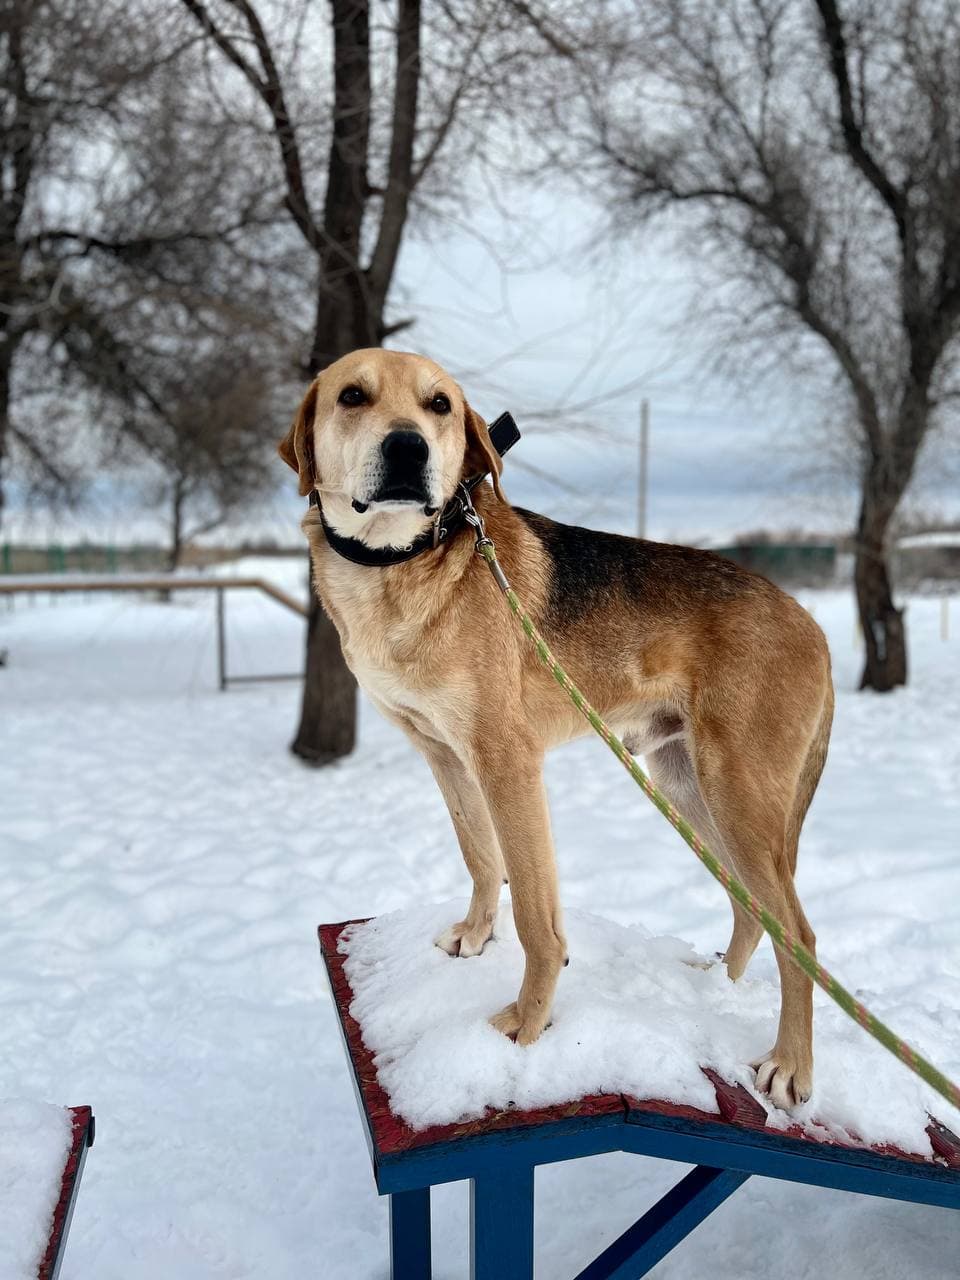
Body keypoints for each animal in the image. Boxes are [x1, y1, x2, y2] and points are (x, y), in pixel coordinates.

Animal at [280, 350, 834, 1111]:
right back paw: (712, 990)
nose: (408, 448)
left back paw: (791, 1065)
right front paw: (475, 936)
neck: (401, 562)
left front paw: (527, 1025)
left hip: (739, 798)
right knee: (753, 910)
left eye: (439, 405)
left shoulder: (507, 762)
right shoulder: (445, 754)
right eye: (352, 396)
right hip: (689, 786)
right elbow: (482, 859)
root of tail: (817, 628)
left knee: (799, 934)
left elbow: (537, 919)